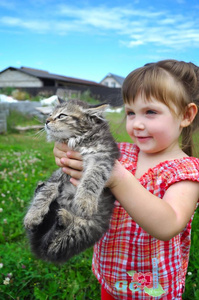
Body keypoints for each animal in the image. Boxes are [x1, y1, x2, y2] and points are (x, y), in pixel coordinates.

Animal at [23, 98, 119, 262]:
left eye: (62, 115)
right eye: (50, 114)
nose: (47, 121)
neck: (77, 140)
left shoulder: (101, 158)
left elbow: (91, 179)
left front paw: (85, 201)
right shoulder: (60, 171)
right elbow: (45, 193)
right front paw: (33, 215)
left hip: (82, 230)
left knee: (55, 245)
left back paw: (64, 219)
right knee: (45, 240)